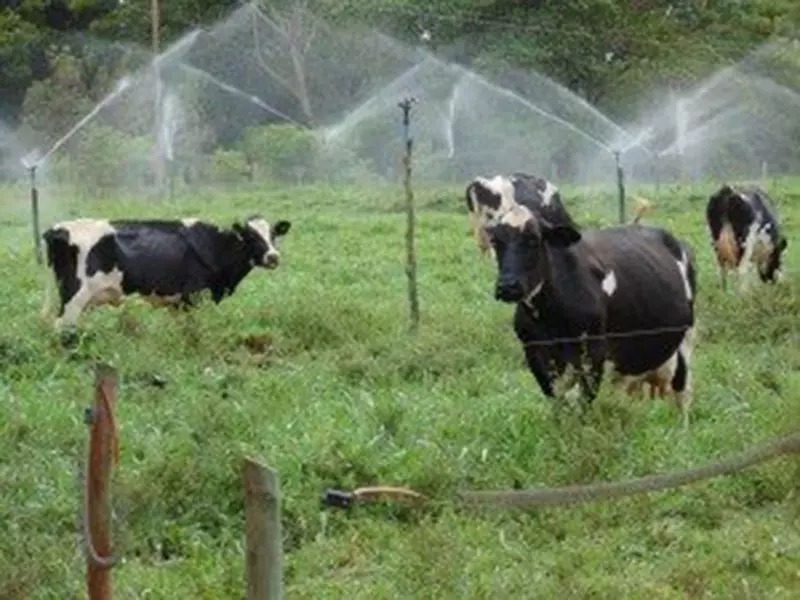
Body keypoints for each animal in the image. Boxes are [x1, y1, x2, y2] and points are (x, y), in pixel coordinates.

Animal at [40, 214, 290, 330]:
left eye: (273, 235)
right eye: (251, 237)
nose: (273, 256)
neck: (215, 246)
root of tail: (57, 229)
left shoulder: (177, 304)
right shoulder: (194, 297)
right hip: (74, 296)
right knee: (62, 327)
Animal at [484, 205, 696, 426]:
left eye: (533, 239)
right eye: (495, 241)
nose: (508, 286)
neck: (552, 321)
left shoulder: (594, 353)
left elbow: (584, 403)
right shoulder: (534, 352)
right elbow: (556, 401)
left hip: (686, 340)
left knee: (683, 391)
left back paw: (682, 429)